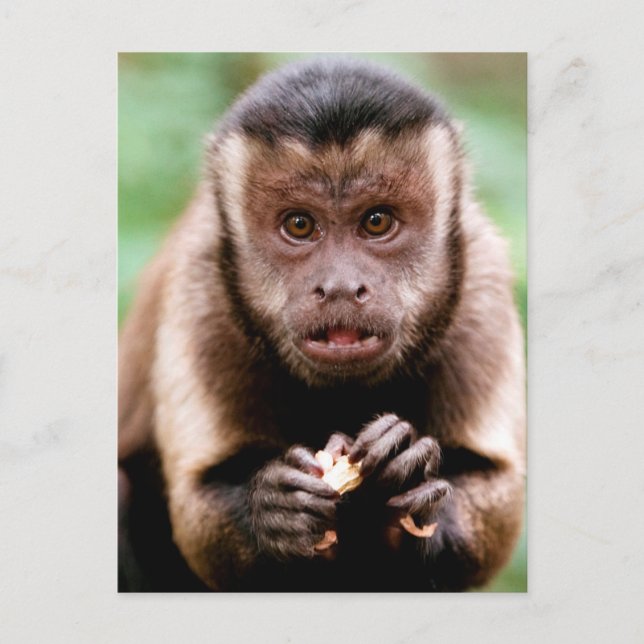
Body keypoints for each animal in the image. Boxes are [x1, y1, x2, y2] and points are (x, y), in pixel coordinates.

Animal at [118, 57, 526, 592]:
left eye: (377, 221)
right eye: (299, 225)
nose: (339, 287)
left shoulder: (480, 279)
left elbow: (497, 493)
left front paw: (410, 477)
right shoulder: (201, 283)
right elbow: (196, 510)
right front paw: (273, 511)